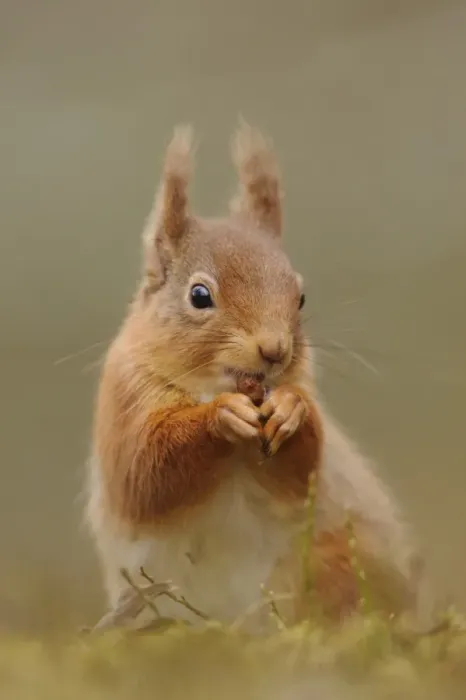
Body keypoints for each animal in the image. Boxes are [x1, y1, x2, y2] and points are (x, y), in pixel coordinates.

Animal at [85, 122, 432, 631]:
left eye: (300, 296)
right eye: (199, 295)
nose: (275, 350)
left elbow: (302, 472)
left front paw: (289, 410)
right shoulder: (125, 399)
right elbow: (145, 475)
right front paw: (220, 417)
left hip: (330, 561)